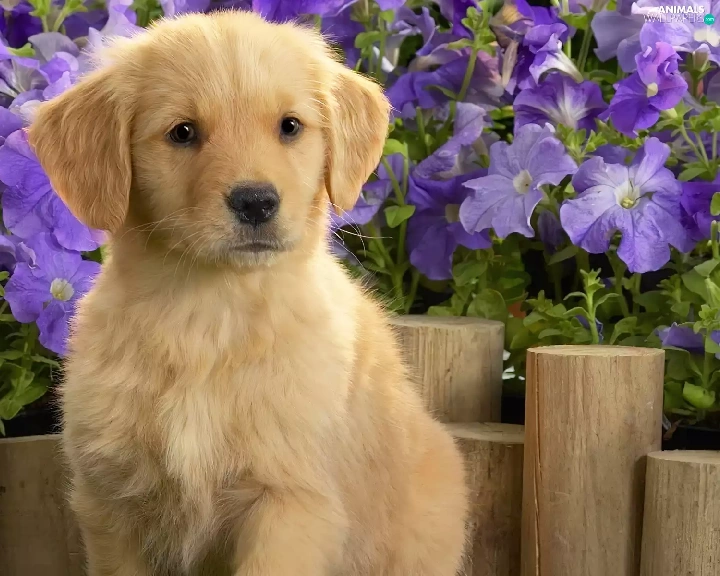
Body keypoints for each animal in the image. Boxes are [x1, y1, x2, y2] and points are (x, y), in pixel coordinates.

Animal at [28, 10, 469, 576]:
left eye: (290, 126)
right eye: (183, 132)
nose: (256, 202)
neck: (210, 312)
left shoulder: (289, 501)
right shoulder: (112, 502)